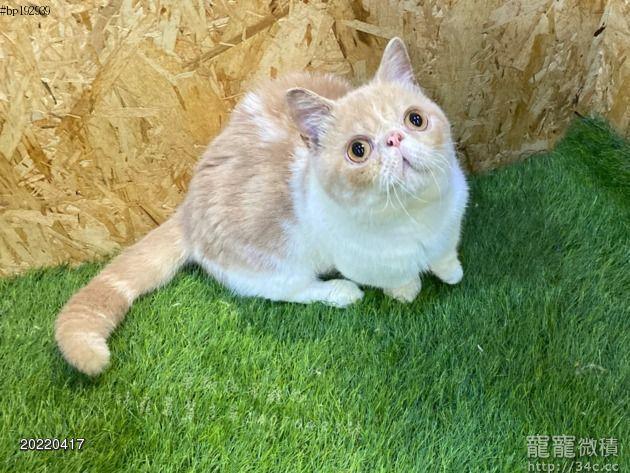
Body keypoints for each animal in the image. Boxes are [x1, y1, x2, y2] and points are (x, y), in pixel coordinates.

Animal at [55, 38, 469, 376]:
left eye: (415, 119)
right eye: (358, 150)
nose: (396, 138)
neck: (414, 217)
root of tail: (187, 208)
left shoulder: (451, 217)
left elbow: (444, 255)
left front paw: (449, 270)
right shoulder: (363, 259)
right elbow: (397, 277)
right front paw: (407, 289)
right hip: (273, 265)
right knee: (292, 289)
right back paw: (339, 292)